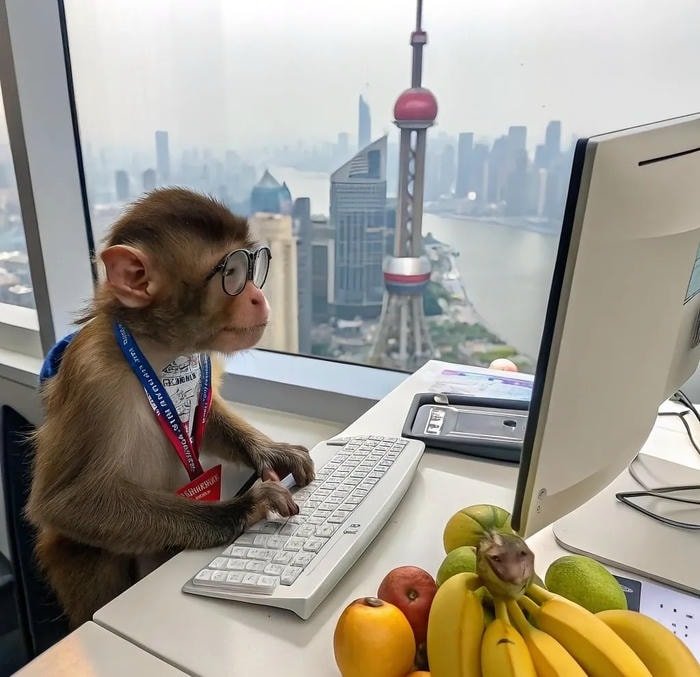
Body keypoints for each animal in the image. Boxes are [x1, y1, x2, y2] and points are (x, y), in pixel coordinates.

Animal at [25, 187, 315, 629]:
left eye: (258, 265)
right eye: (233, 273)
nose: (258, 296)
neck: (158, 353)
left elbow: (208, 419)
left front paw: (274, 453)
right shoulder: (92, 379)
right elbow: (67, 503)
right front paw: (247, 505)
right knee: (86, 549)